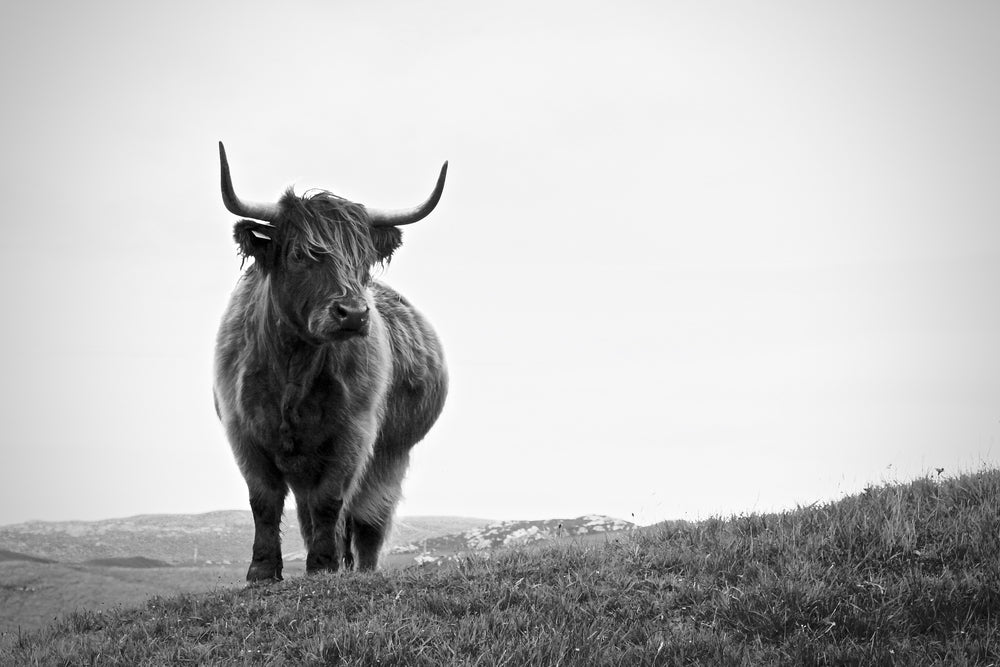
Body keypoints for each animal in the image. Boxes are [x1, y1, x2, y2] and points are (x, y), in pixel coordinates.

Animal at [215, 145, 450, 580]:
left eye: (363, 260)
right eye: (299, 254)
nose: (353, 314)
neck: (293, 366)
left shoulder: (353, 434)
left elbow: (330, 501)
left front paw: (323, 567)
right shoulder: (243, 432)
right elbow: (264, 501)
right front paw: (262, 571)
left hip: (390, 456)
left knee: (368, 520)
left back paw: (360, 569)